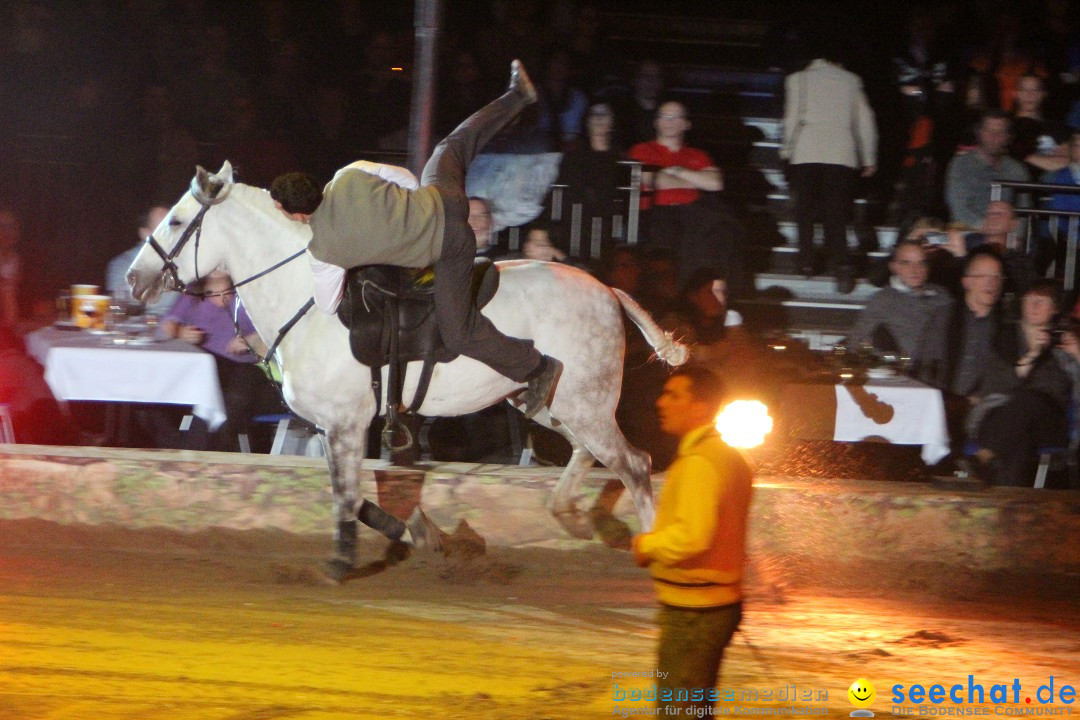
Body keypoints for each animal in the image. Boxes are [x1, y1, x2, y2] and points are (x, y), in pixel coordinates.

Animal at [124, 161, 682, 574]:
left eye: (177, 222)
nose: (133, 278)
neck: (306, 298)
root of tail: (607, 289)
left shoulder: (346, 422)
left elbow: (347, 495)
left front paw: (345, 560)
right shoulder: (339, 424)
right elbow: (371, 489)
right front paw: (422, 534)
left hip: (584, 402)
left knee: (634, 464)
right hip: (556, 403)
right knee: (590, 454)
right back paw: (571, 516)